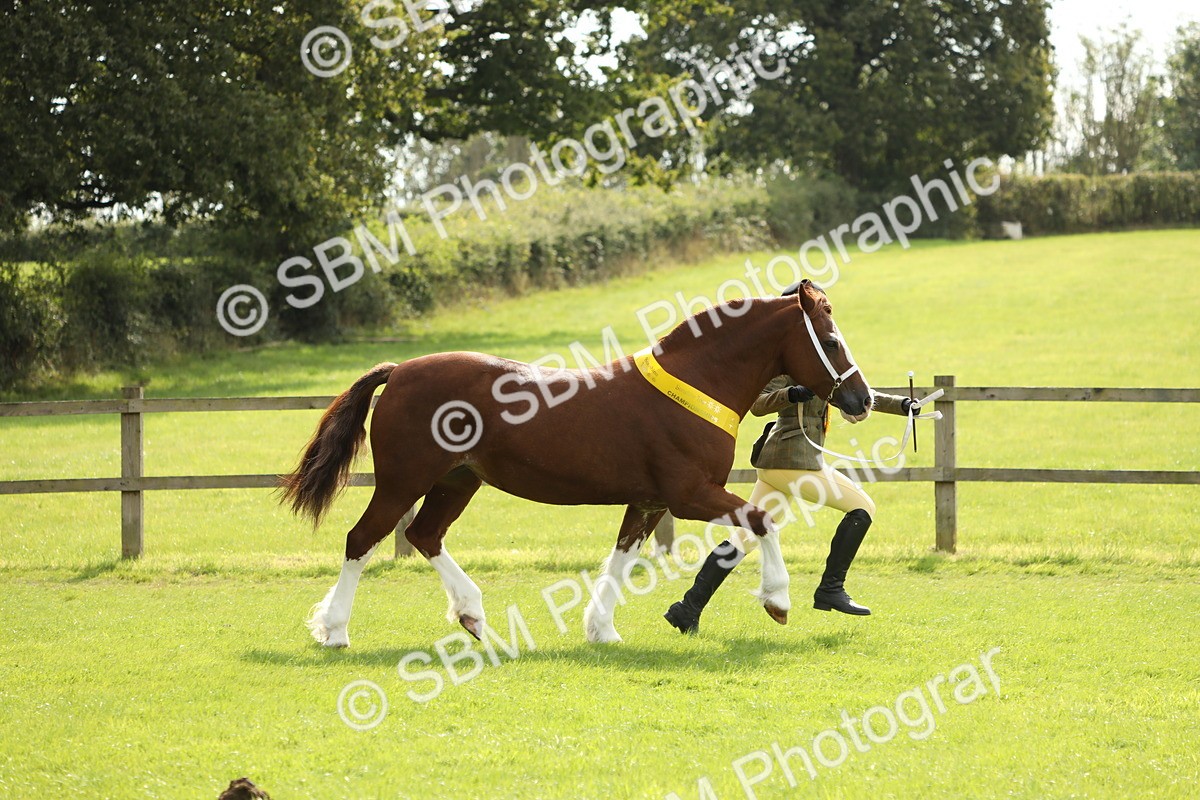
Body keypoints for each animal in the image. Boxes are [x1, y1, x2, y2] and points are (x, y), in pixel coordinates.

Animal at [280, 279, 872, 646]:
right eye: (831, 339)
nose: (862, 399)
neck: (698, 380)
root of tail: (399, 370)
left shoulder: (649, 501)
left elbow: (623, 557)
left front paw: (601, 630)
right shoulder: (689, 494)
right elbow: (762, 520)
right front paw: (778, 600)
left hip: (457, 481)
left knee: (425, 536)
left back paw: (472, 614)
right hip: (403, 481)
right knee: (362, 539)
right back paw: (335, 631)